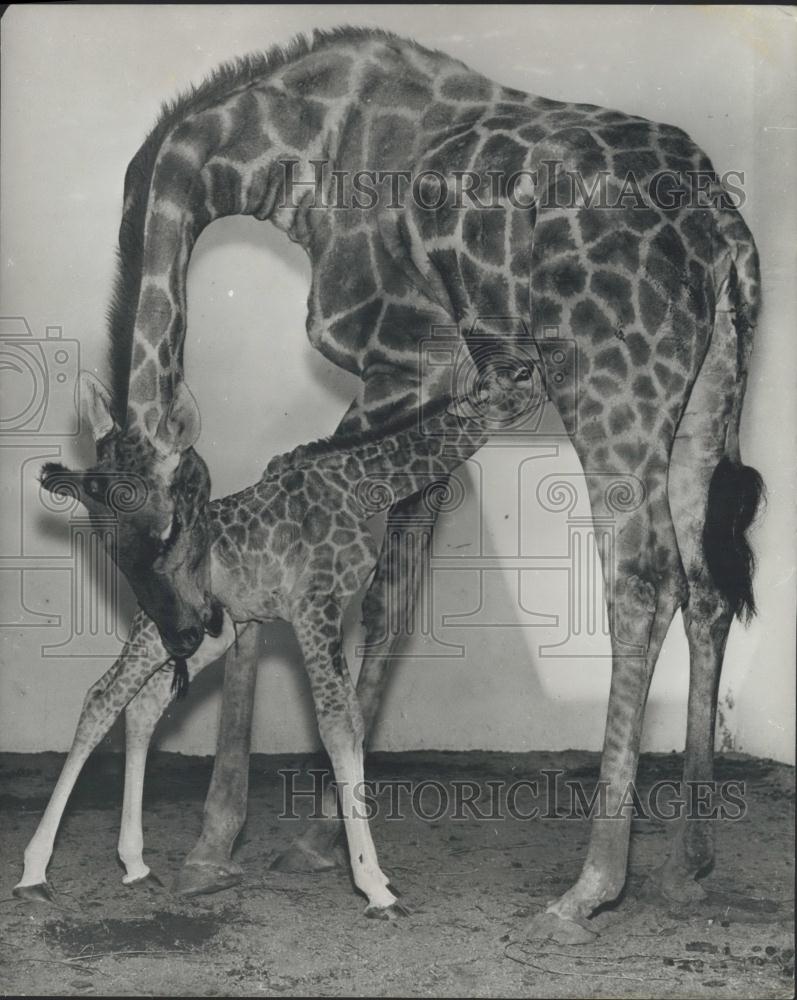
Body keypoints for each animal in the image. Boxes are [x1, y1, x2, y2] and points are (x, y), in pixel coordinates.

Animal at [14, 360, 536, 920]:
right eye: (513, 381)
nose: (534, 392)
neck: (359, 483)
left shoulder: (322, 610)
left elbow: (352, 721)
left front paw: (374, 875)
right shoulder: (315, 605)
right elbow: (338, 725)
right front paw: (375, 888)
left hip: (204, 637)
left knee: (144, 705)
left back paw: (135, 864)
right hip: (159, 630)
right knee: (102, 697)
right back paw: (33, 874)